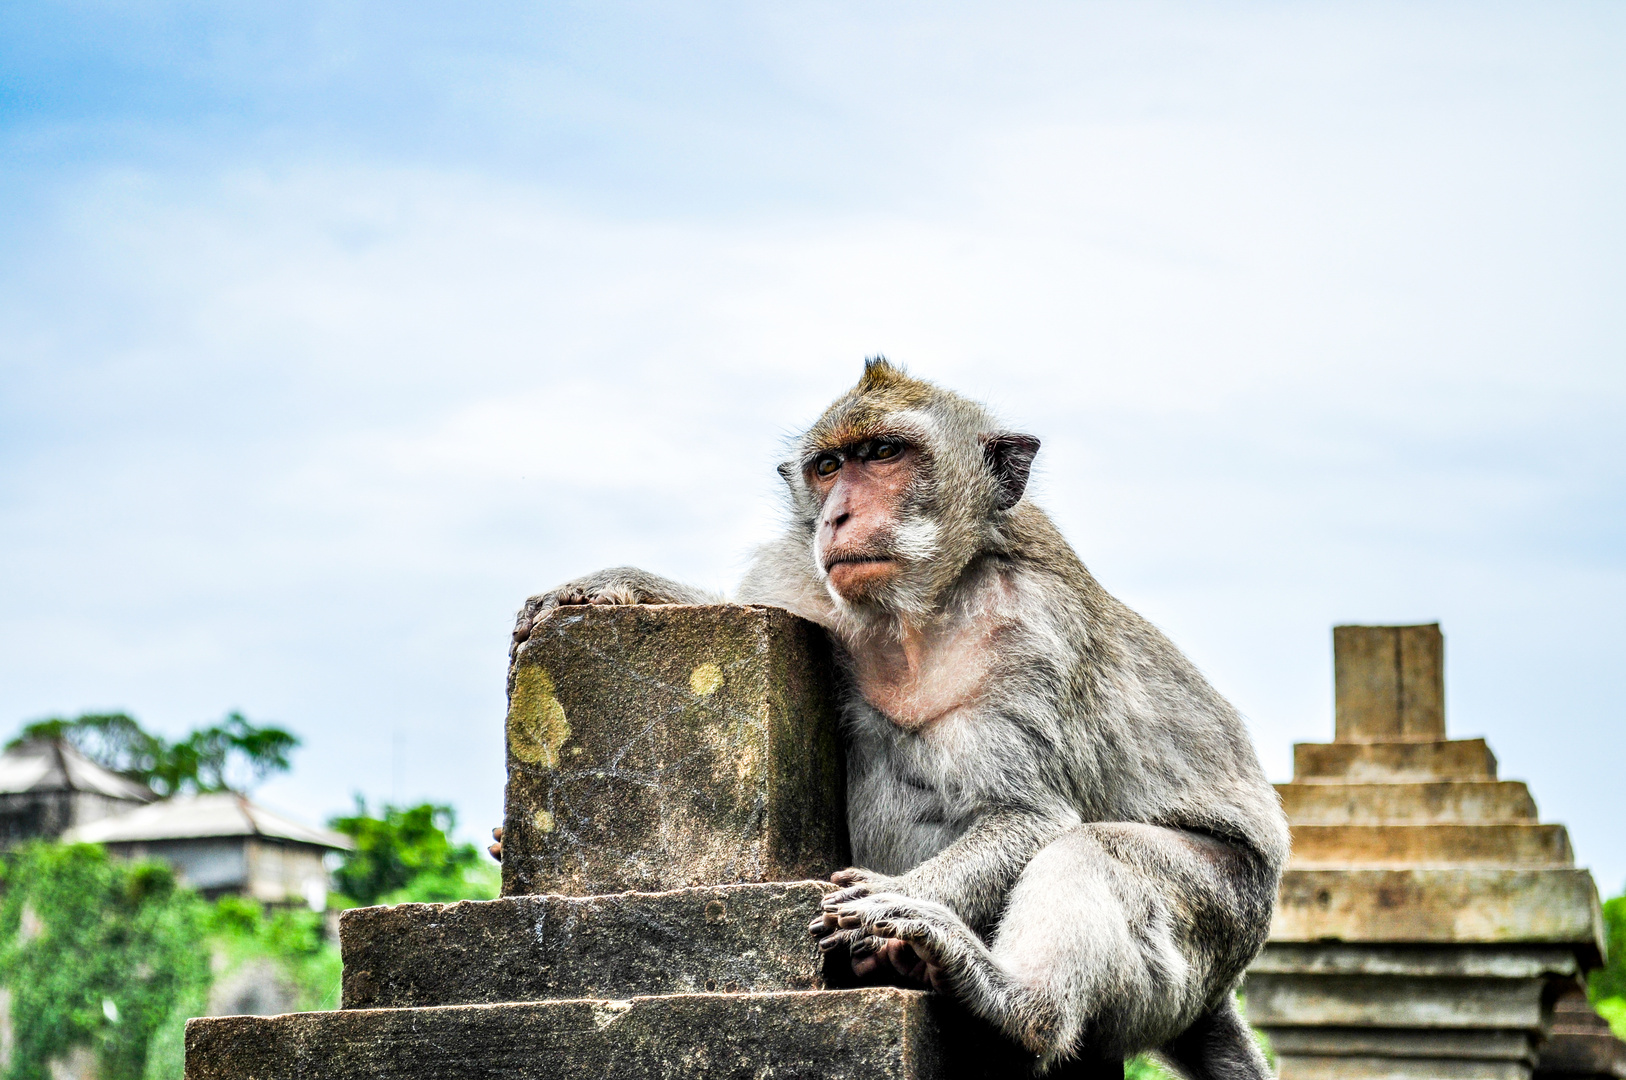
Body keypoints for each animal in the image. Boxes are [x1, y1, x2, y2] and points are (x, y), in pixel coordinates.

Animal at [500, 357, 1287, 1073]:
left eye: (884, 454)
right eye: (827, 467)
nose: (839, 515)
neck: (917, 611)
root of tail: (1217, 996)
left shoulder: (1033, 633)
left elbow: (1031, 818)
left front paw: (892, 899)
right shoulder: (802, 579)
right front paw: (617, 586)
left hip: (1224, 915)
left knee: (1095, 851)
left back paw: (1013, 1002)